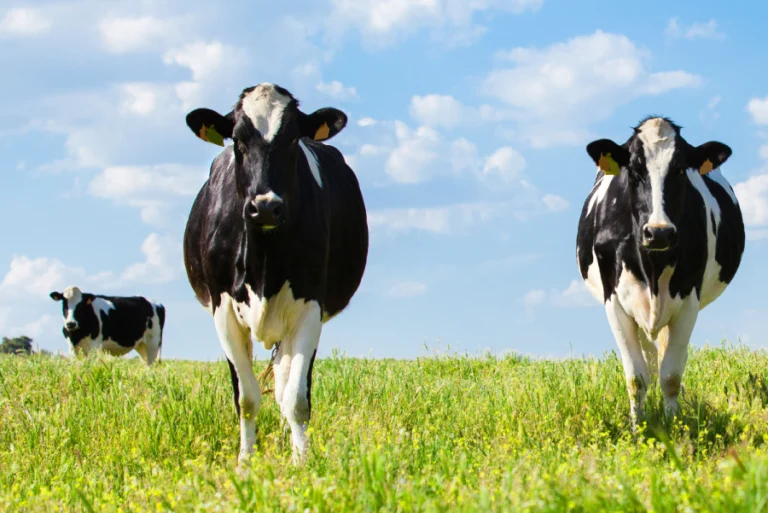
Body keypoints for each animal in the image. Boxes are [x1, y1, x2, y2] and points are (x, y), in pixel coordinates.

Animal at [182, 83, 368, 464]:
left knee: (284, 386)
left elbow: (296, 399)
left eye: (293, 140)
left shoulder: (310, 308)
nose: (265, 206)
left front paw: (301, 462)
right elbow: (247, 398)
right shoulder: (223, 310)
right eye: (237, 140)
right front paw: (244, 462)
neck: (263, 263)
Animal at [576, 116, 744, 428]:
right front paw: (638, 428)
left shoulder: (689, 300)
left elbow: (671, 375)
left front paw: (674, 424)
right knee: (649, 357)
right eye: (633, 169)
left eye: (680, 169)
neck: (652, 265)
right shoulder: (614, 301)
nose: (659, 232)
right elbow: (636, 377)